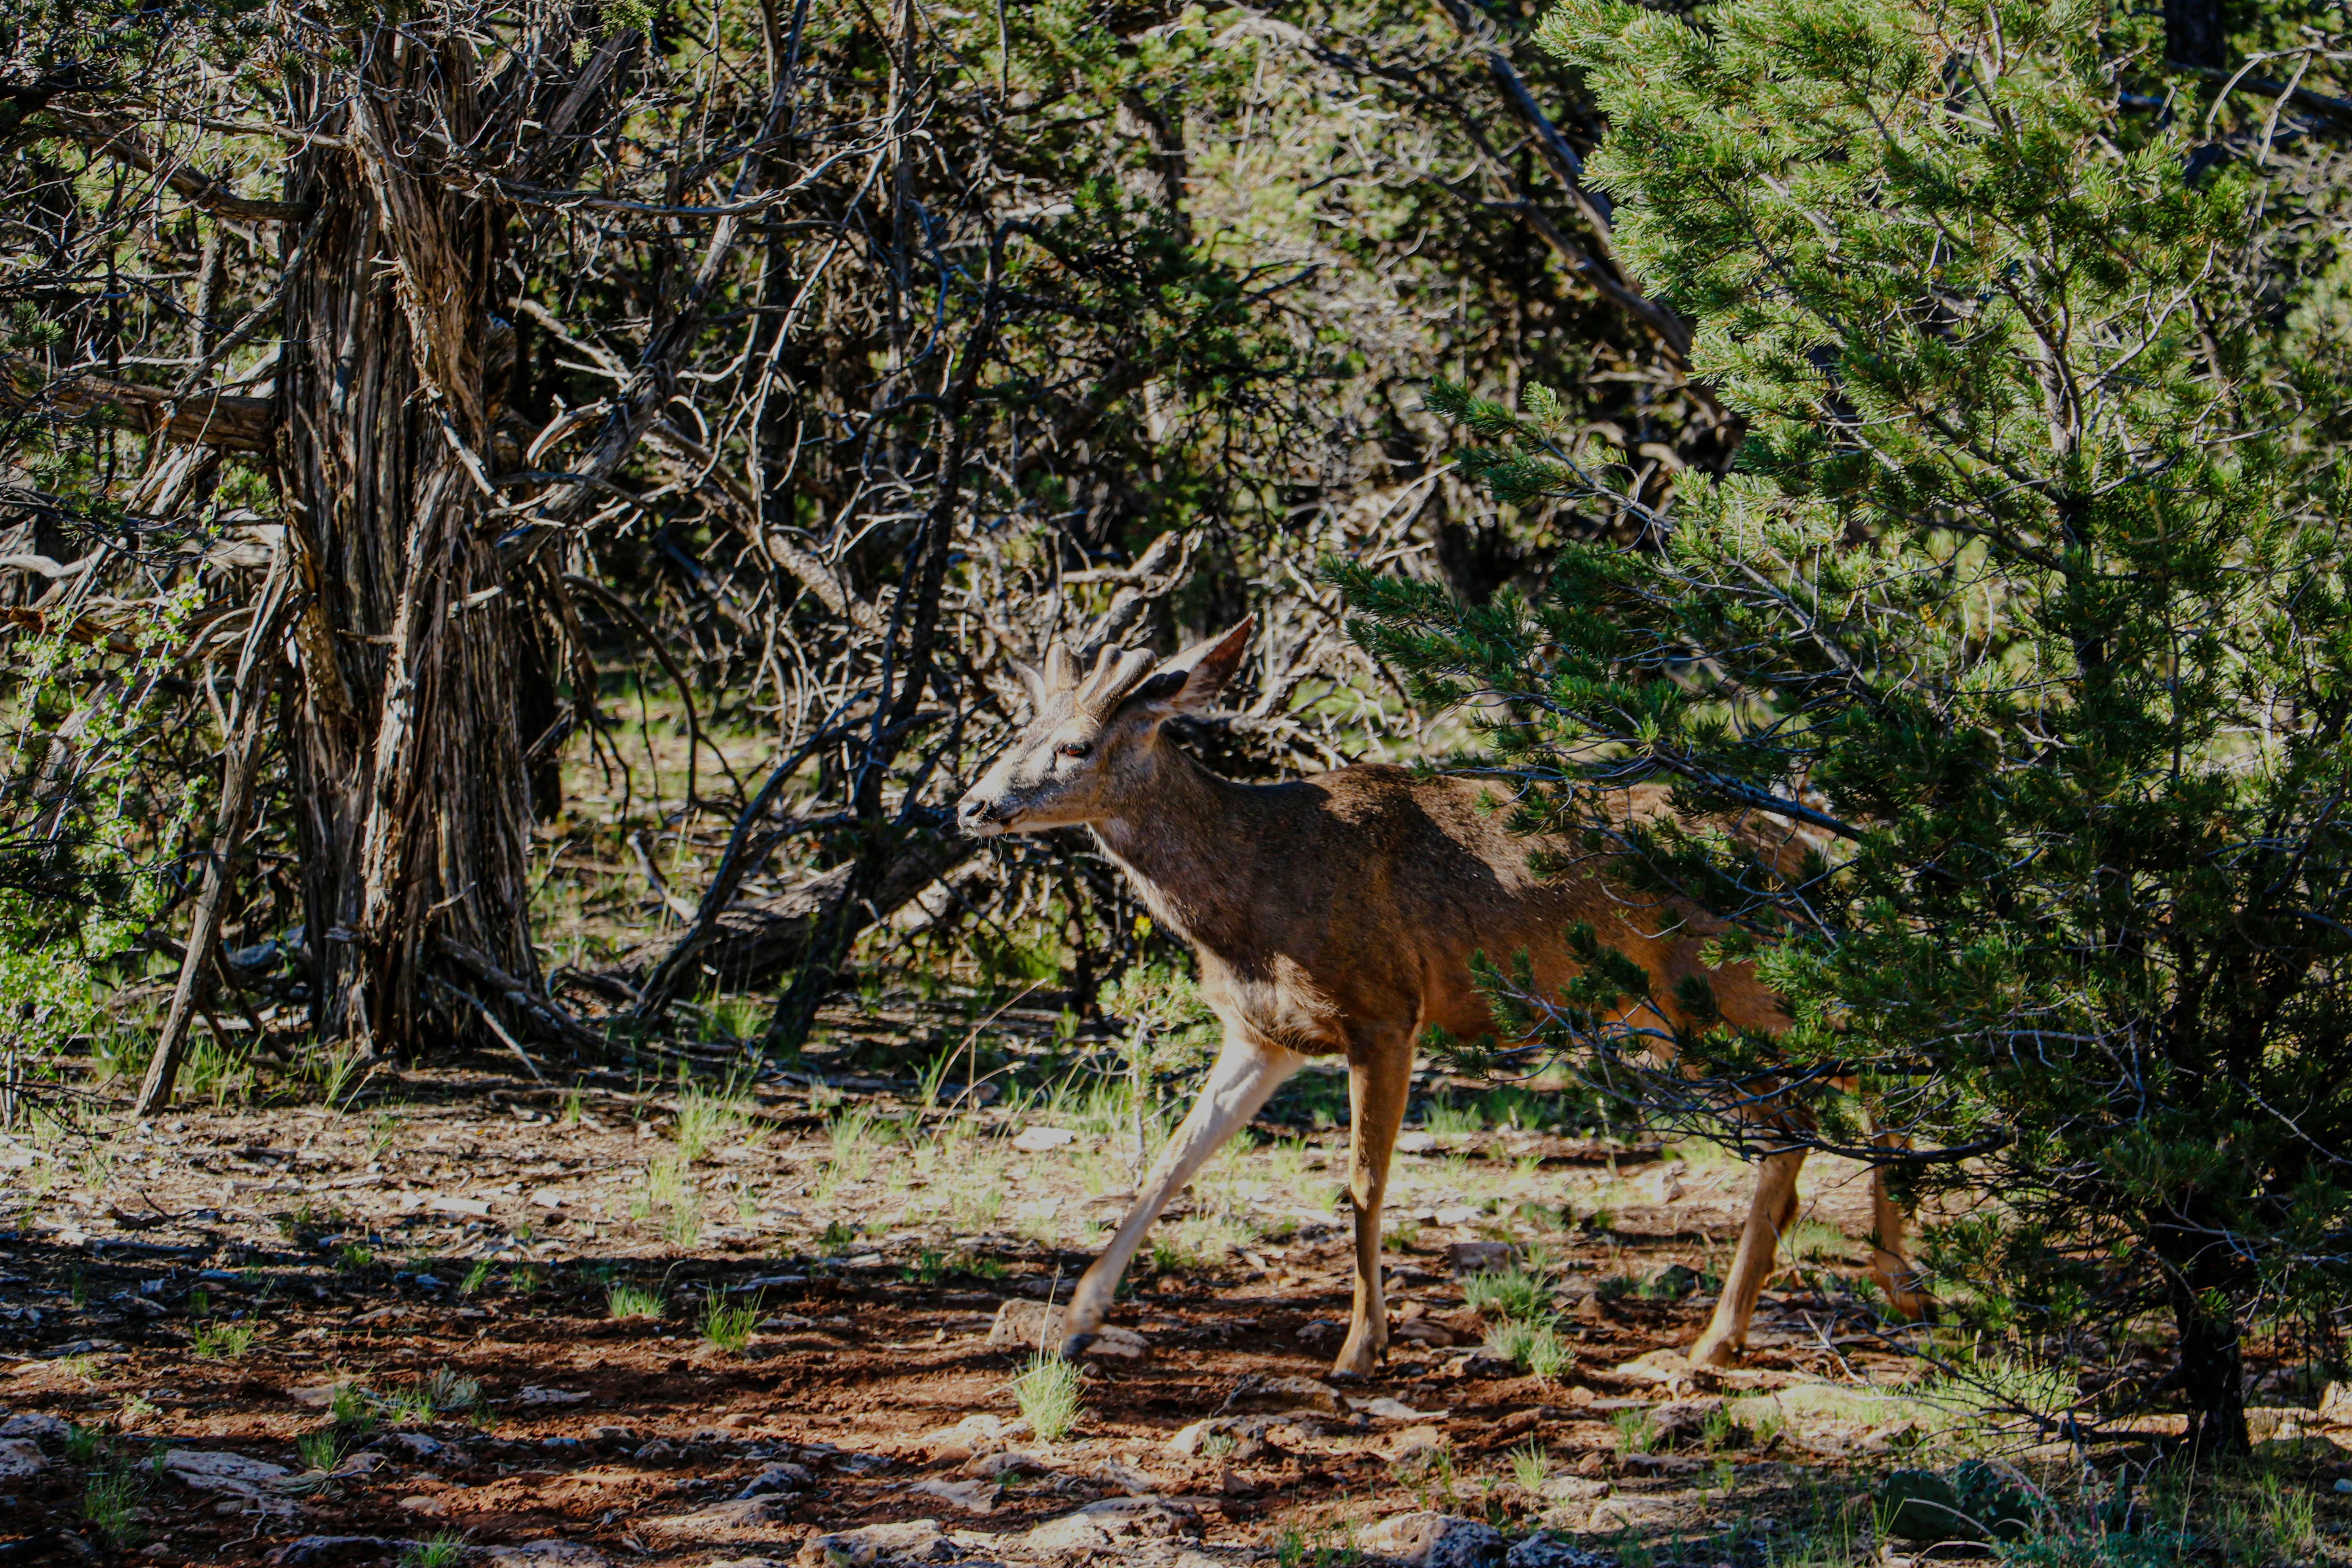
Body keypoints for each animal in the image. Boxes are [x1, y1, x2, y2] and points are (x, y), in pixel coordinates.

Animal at [955, 618, 1923, 1377]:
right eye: (1018, 729)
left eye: (1077, 745)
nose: (971, 805)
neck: (1250, 886)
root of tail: (1802, 850)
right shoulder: (1263, 1035)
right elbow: (1172, 1160)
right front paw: (1075, 1320)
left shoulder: (1384, 1005)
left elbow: (1362, 1182)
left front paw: (1360, 1348)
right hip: (1682, 1009)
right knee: (1844, 1077)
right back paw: (1873, 1287)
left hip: (1717, 987)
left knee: (1823, 1097)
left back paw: (1750, 1327)